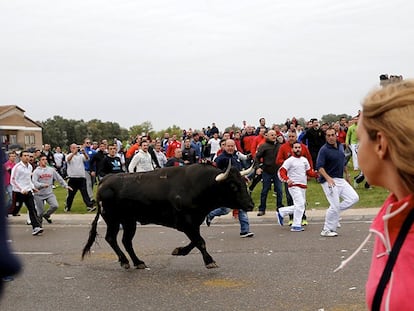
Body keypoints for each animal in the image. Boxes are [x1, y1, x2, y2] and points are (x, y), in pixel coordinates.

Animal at [82, 163, 254, 270]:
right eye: (233, 186)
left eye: (244, 183)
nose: (251, 205)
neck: (198, 186)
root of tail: (106, 179)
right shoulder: (186, 223)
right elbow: (200, 241)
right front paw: (210, 261)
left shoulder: (193, 222)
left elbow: (195, 241)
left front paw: (179, 251)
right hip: (113, 219)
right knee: (111, 238)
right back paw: (124, 261)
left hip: (129, 221)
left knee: (126, 241)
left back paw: (138, 262)